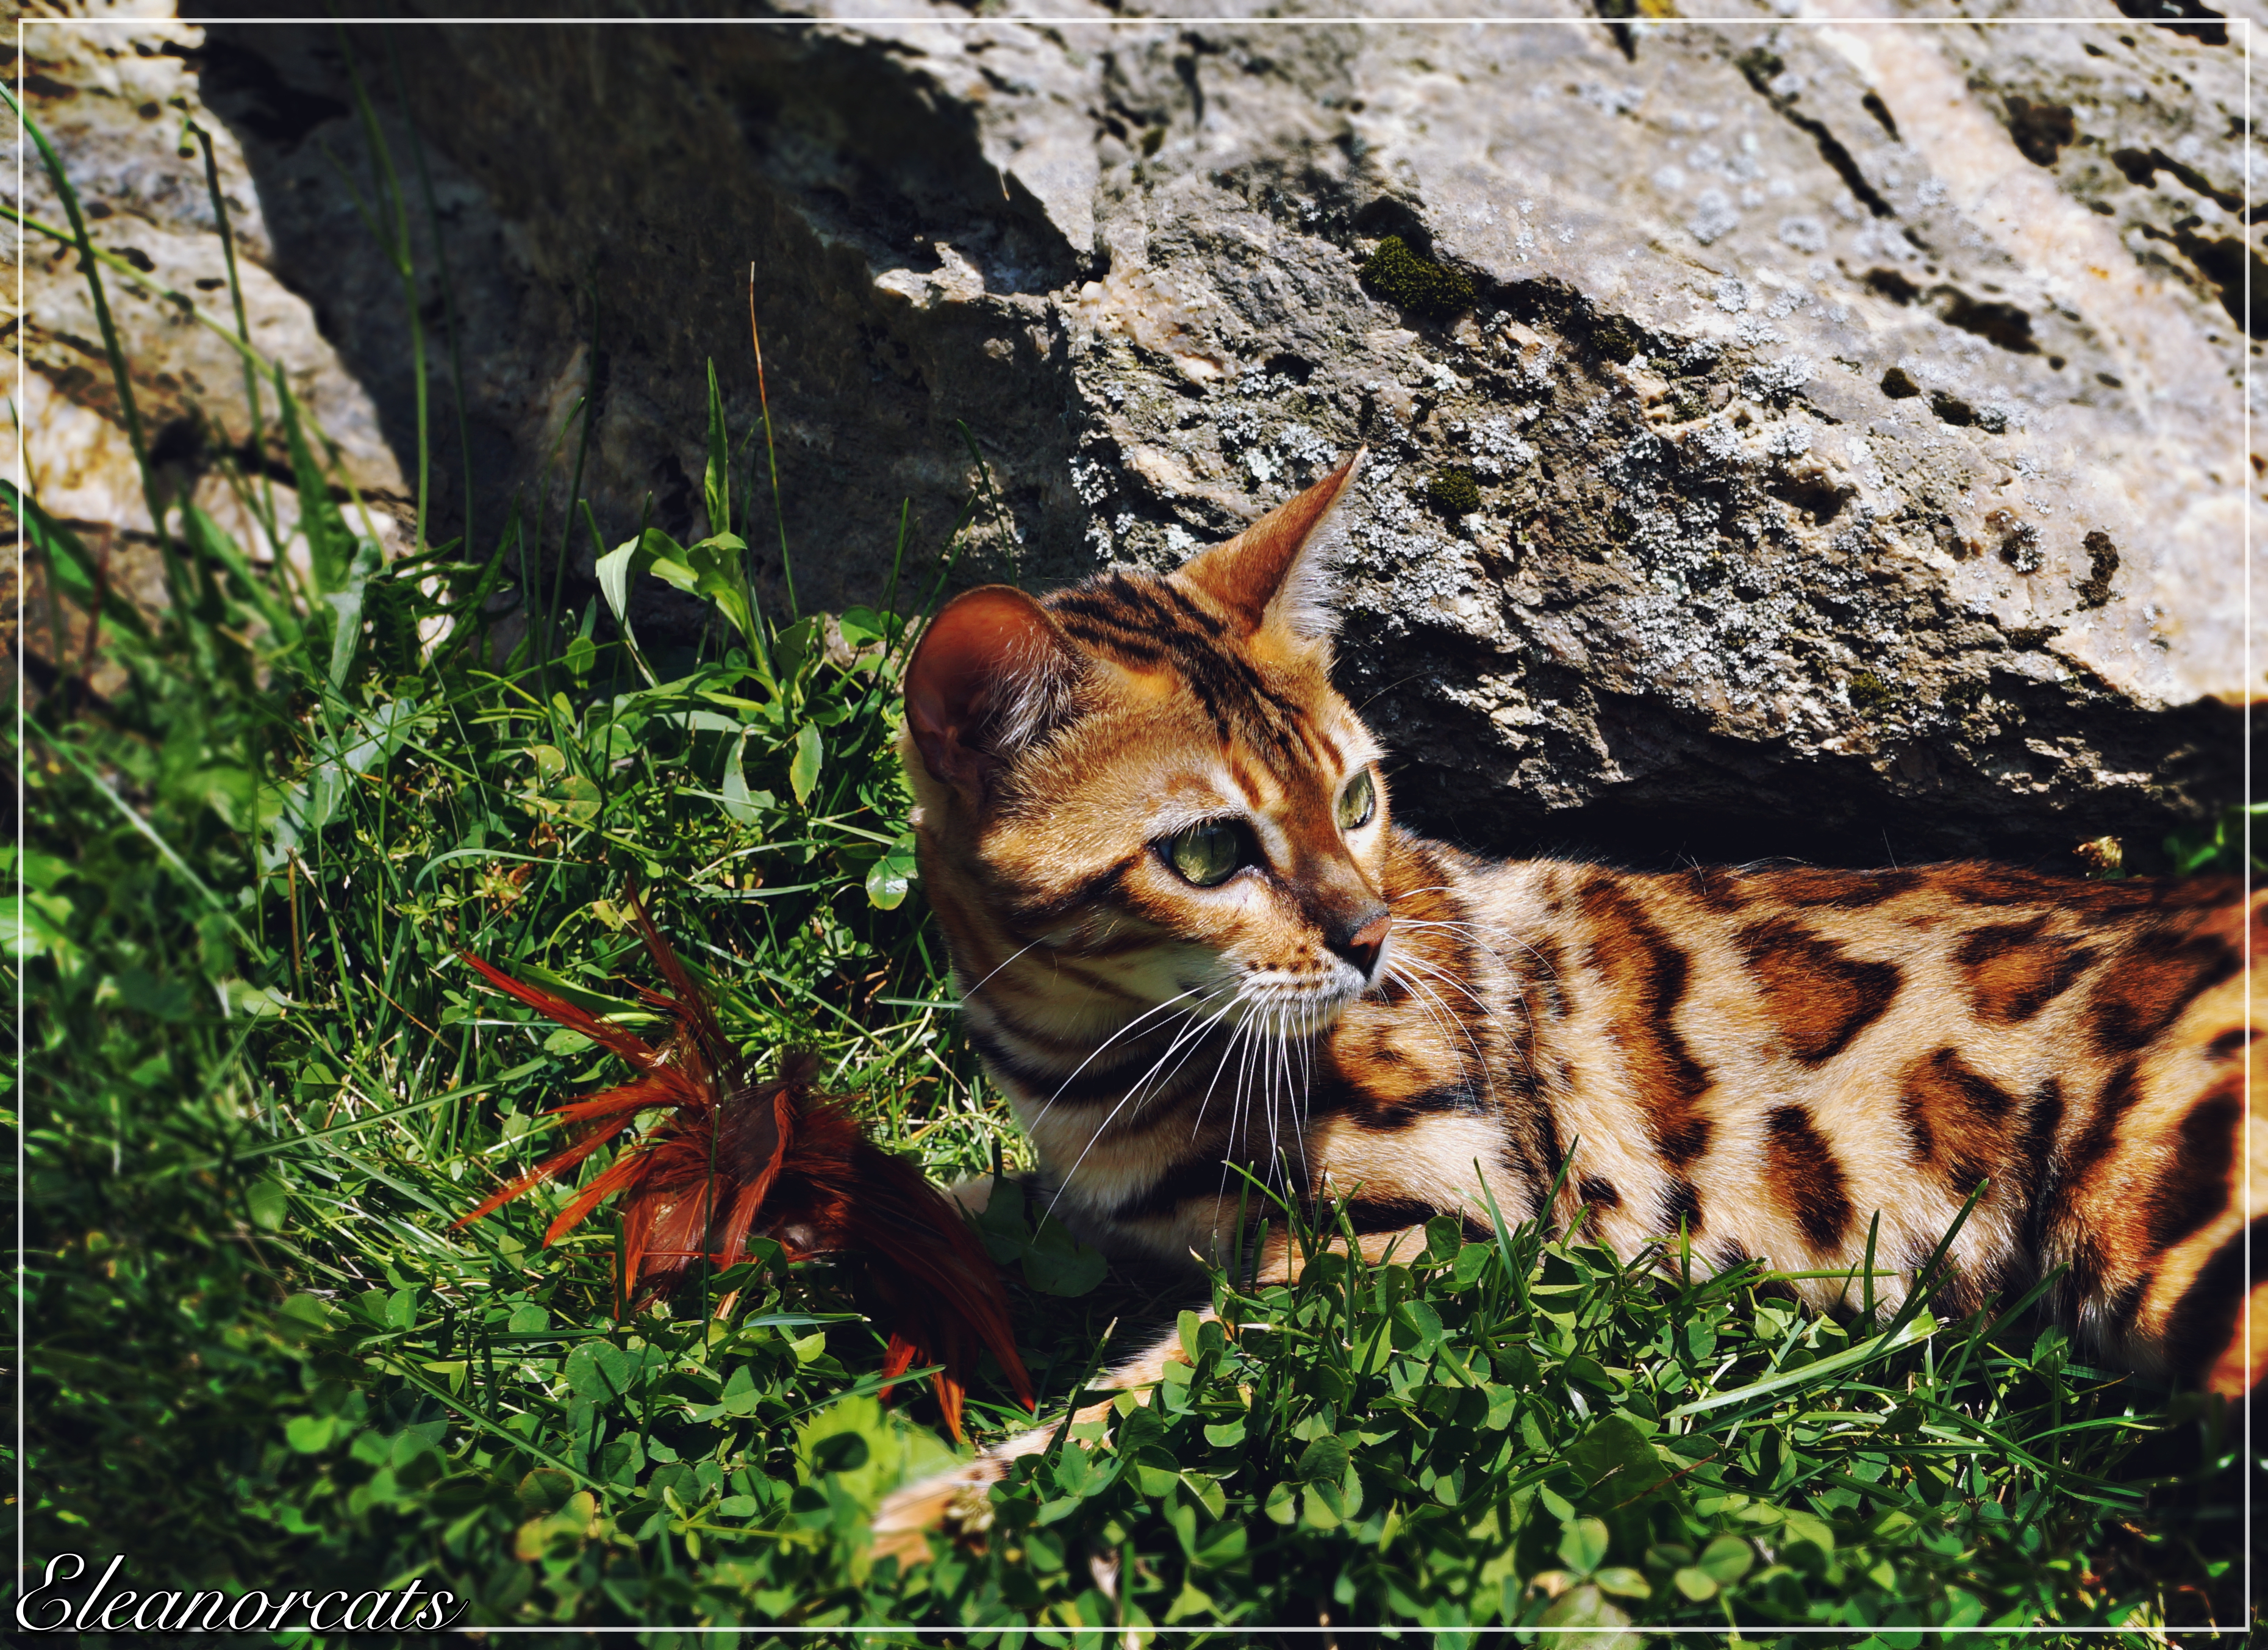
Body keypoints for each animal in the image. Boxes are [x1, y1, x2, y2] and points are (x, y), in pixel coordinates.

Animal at [862, 454, 2250, 1561]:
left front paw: (930, 1515)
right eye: (1206, 853)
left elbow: (1156, 1390)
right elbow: (924, 1198)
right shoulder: (1085, 1195)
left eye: (1354, 797)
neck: (1087, 1063)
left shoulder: (1423, 1227)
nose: (1369, 939)